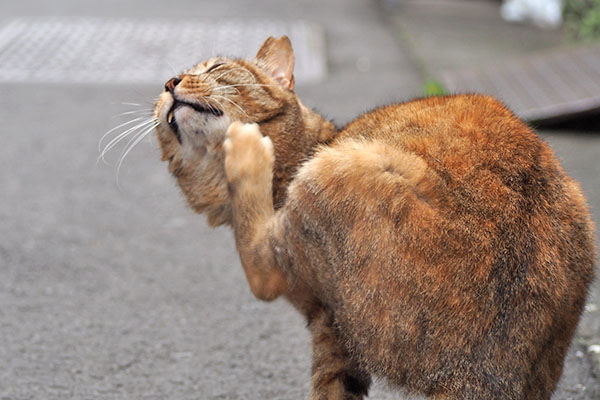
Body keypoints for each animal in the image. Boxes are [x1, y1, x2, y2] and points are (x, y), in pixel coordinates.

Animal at [151, 36, 596, 398]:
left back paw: (245, 151)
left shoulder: (325, 316)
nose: (170, 81)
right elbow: (332, 388)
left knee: (260, 272)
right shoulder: (333, 329)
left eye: (214, 68)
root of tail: (485, 371)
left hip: (331, 171)